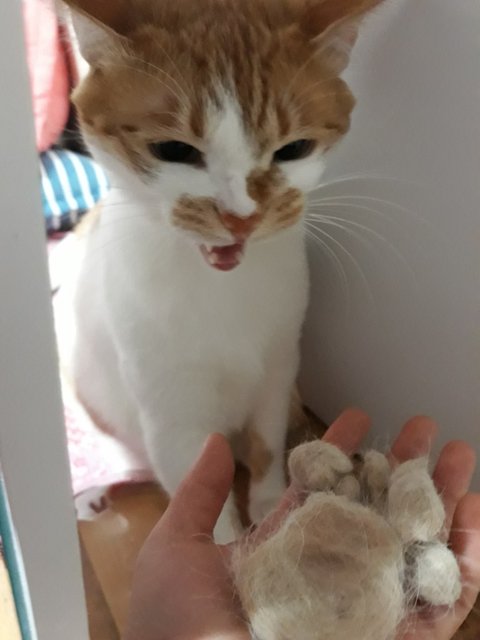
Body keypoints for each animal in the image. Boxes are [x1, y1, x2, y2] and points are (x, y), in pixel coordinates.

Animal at [59, 0, 386, 542]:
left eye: (293, 149)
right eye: (173, 150)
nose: (241, 216)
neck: (223, 292)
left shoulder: (278, 367)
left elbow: (267, 445)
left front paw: (271, 504)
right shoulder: (172, 414)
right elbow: (202, 497)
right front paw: (230, 543)